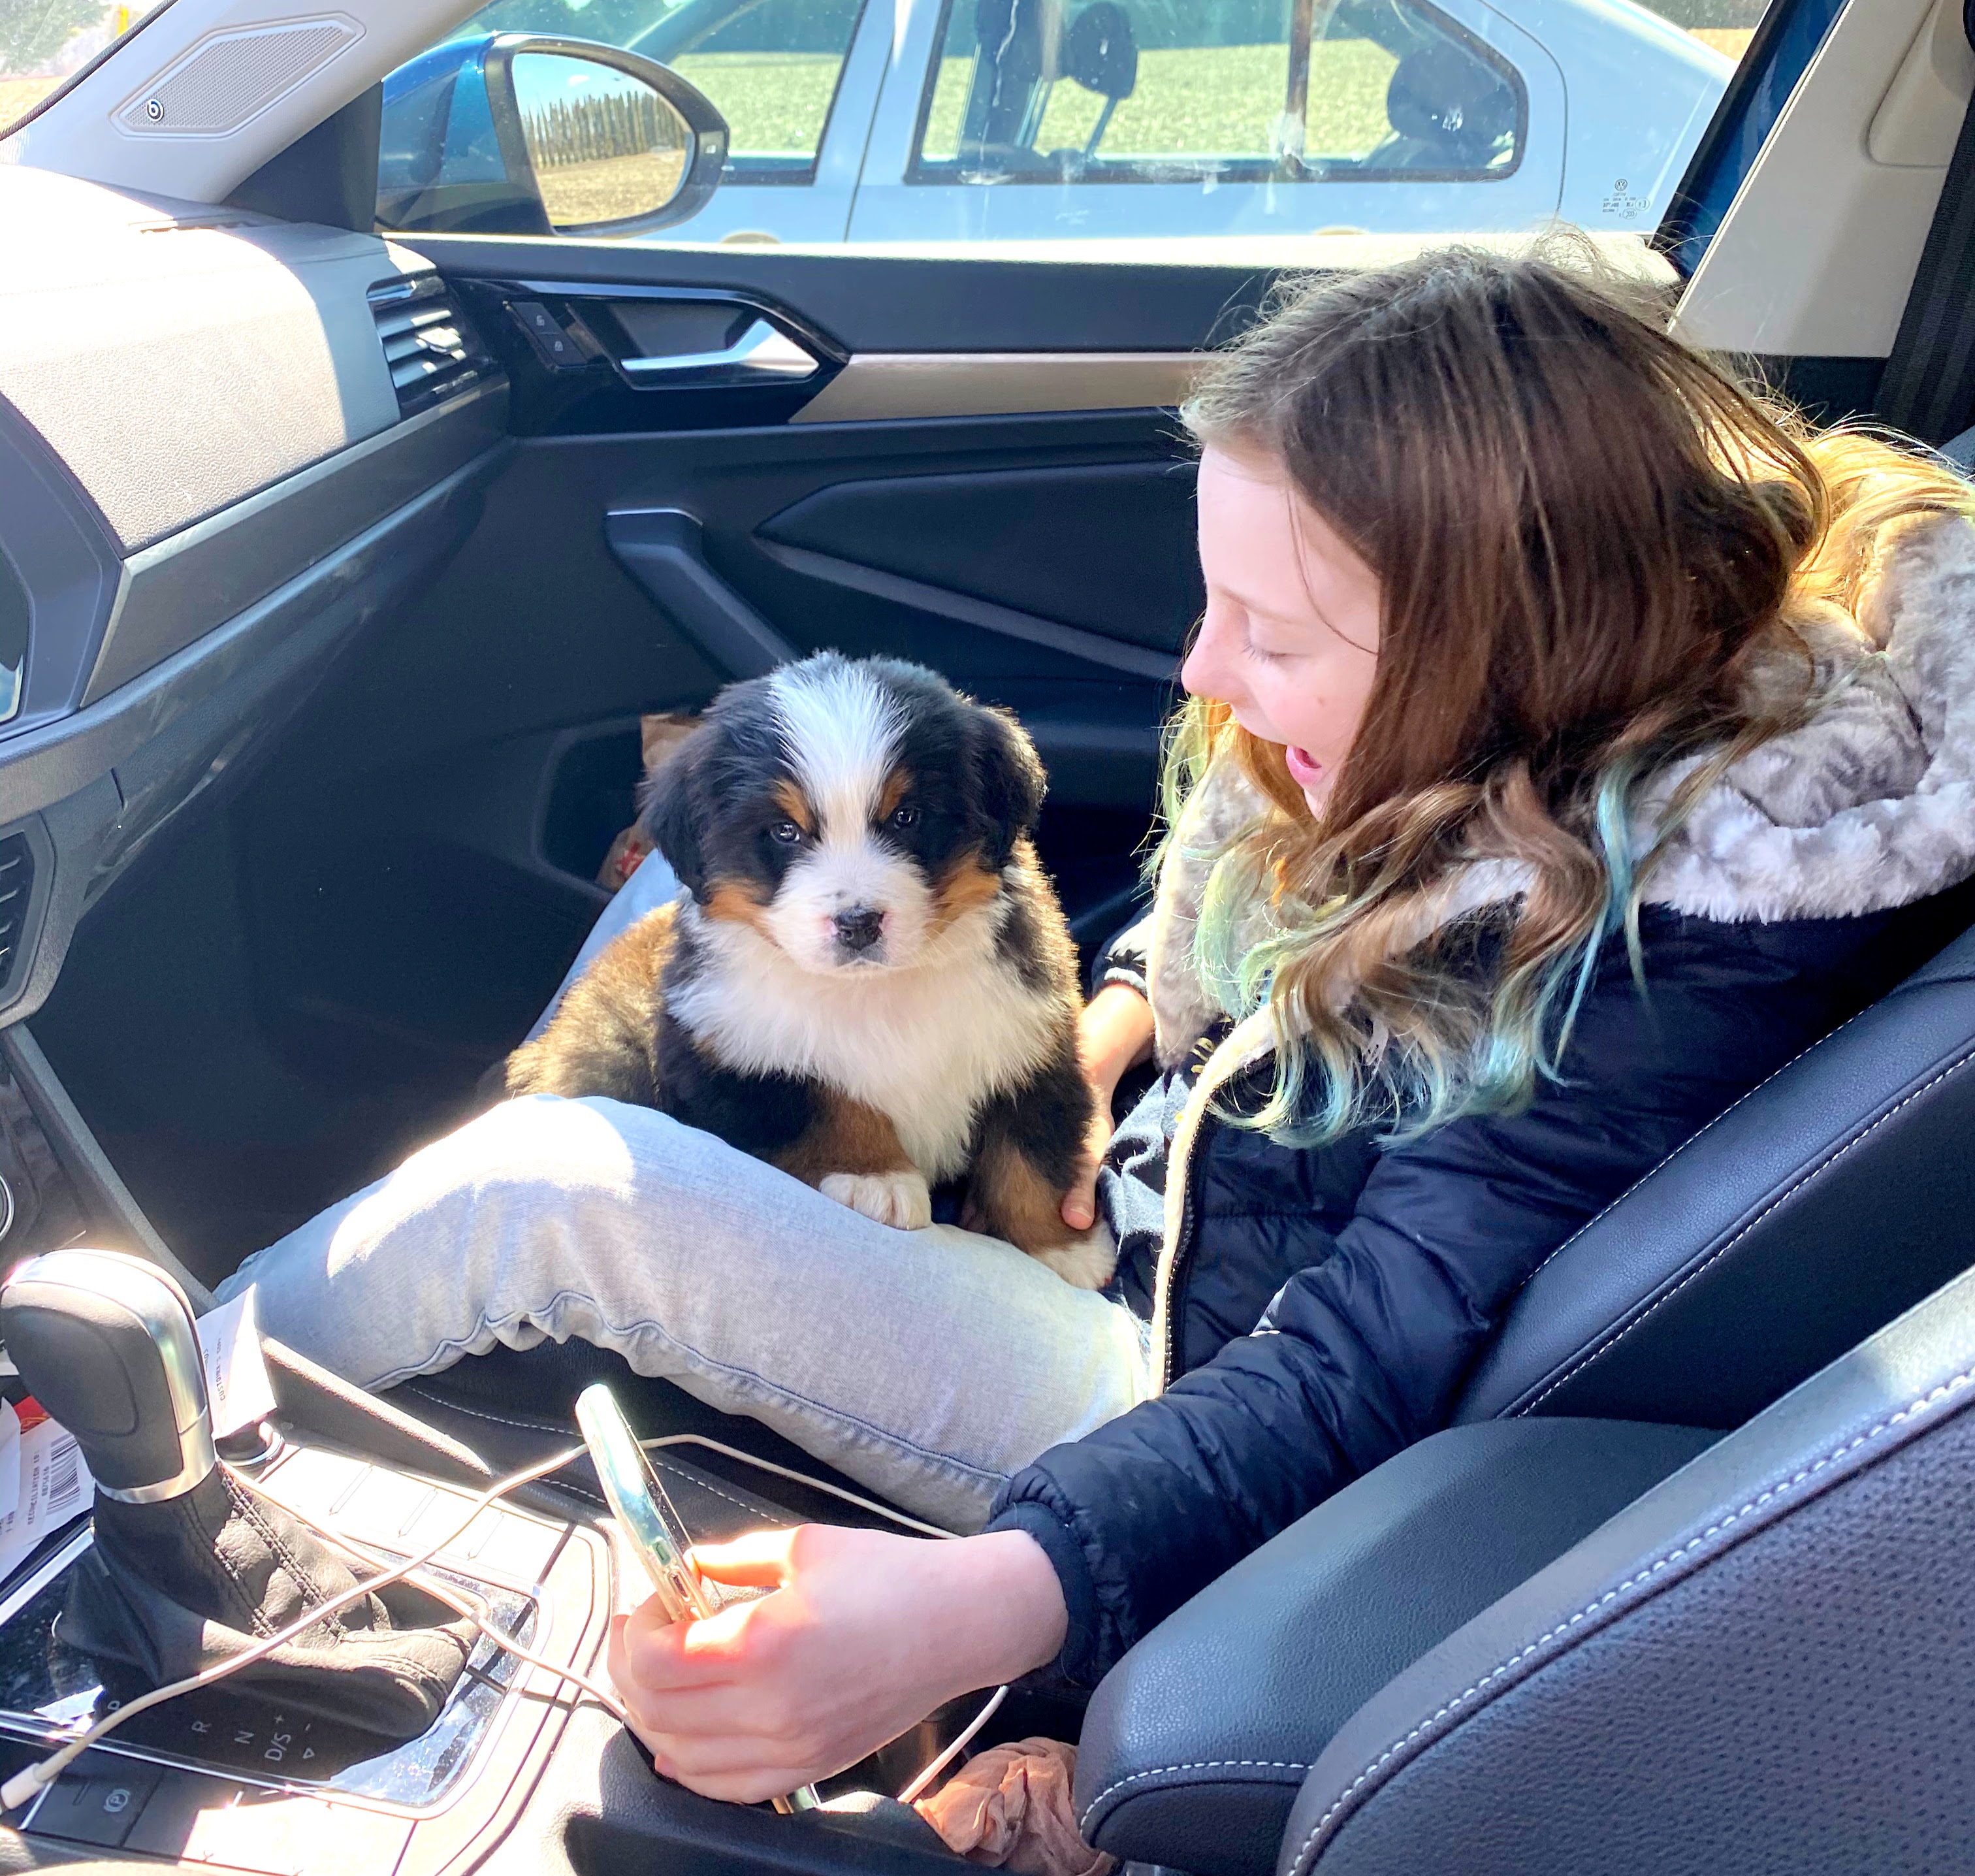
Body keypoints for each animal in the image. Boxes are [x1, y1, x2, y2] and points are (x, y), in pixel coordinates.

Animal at [502, 651, 1121, 1295]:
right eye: (785, 831)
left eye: (907, 817)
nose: (858, 922)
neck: (878, 991)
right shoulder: (727, 1051)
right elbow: (822, 1098)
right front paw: (875, 1177)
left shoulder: (1027, 1039)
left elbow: (1029, 1154)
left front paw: (1062, 1249)